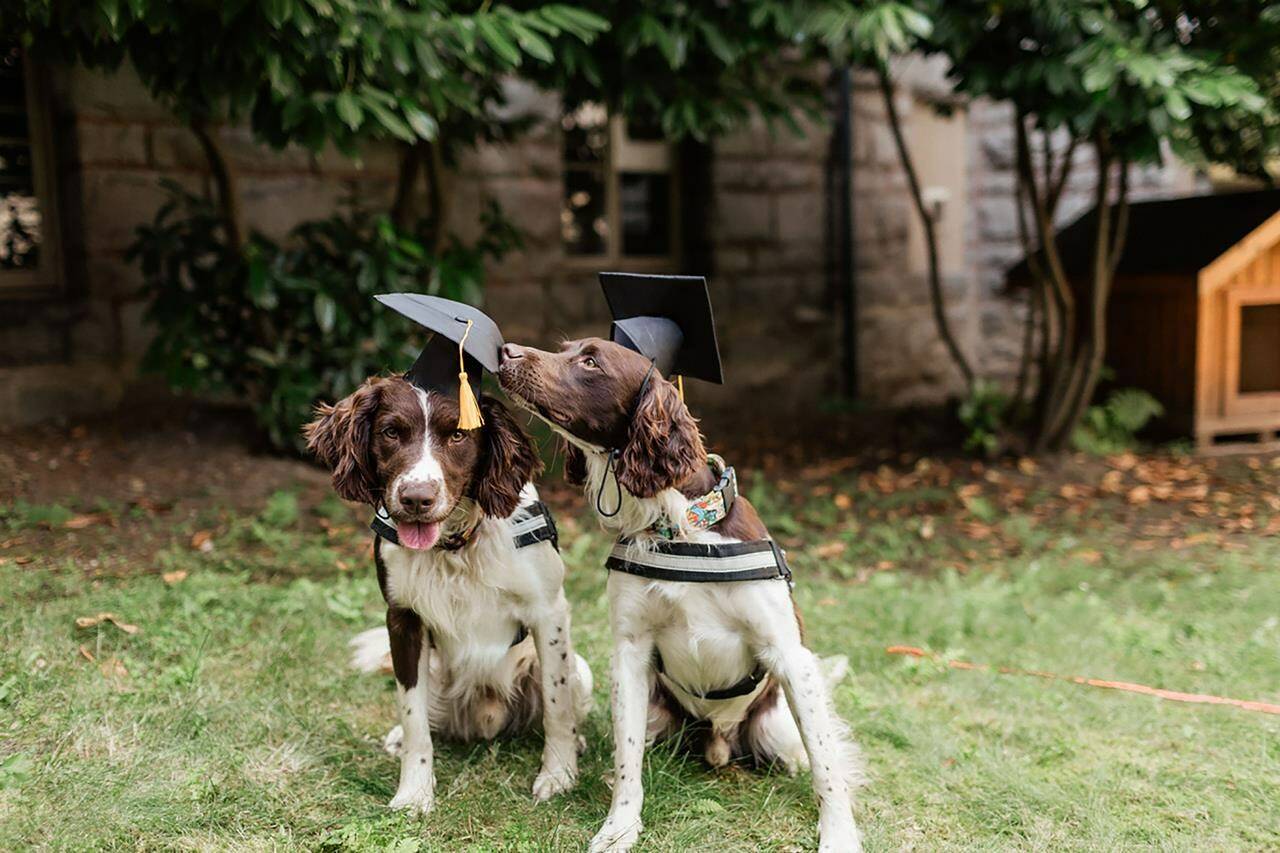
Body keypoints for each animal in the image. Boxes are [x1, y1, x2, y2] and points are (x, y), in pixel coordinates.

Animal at [304, 294, 593, 819]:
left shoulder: (550, 612)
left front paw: (559, 775)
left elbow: (557, 707)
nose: (416, 498)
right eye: (391, 433)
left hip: (578, 668)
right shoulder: (403, 619)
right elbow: (414, 717)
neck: (456, 545)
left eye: (458, 436)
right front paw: (414, 793)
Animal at [494, 338, 865, 850]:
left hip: (776, 723)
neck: (679, 527)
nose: (506, 351)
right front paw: (619, 828)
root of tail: (718, 739)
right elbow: (627, 761)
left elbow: (827, 765)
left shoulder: (790, 656)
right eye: (565, 349)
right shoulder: (629, 655)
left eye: (590, 361)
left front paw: (839, 834)